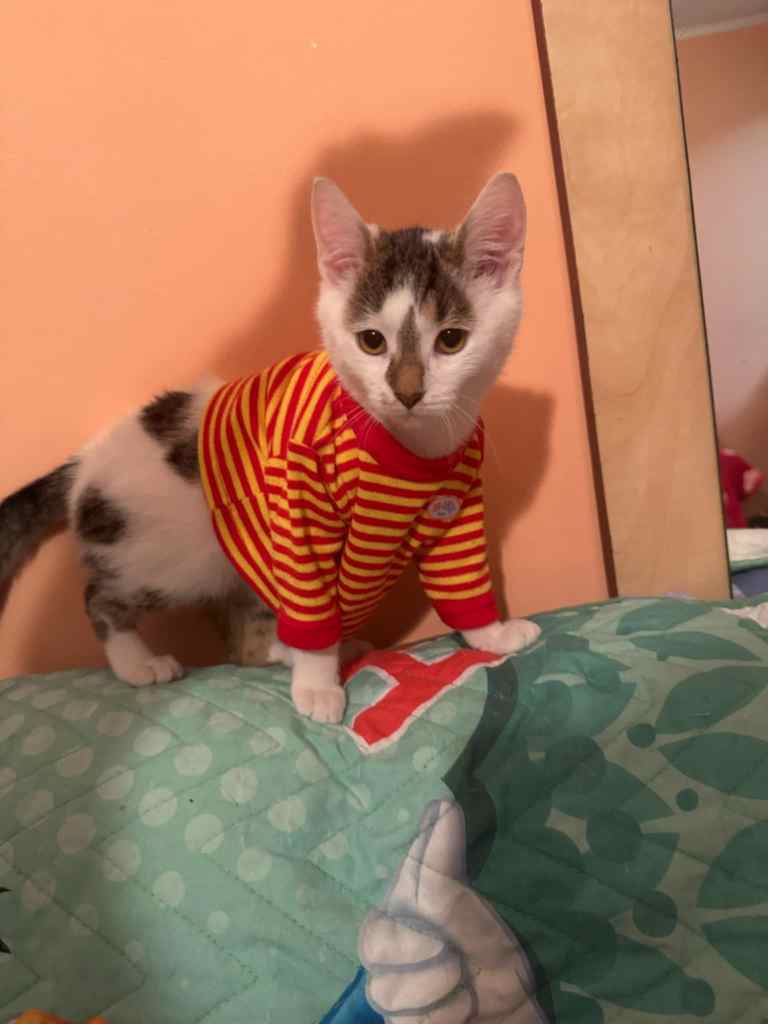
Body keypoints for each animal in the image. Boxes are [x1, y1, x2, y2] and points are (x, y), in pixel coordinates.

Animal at [0, 173, 541, 723]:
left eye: (451, 340)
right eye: (371, 341)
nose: (408, 393)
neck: (410, 447)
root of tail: (85, 462)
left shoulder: (456, 506)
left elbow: (461, 581)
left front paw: (493, 636)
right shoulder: (299, 511)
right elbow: (311, 610)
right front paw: (317, 686)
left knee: (243, 643)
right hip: (167, 553)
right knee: (101, 598)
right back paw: (139, 663)